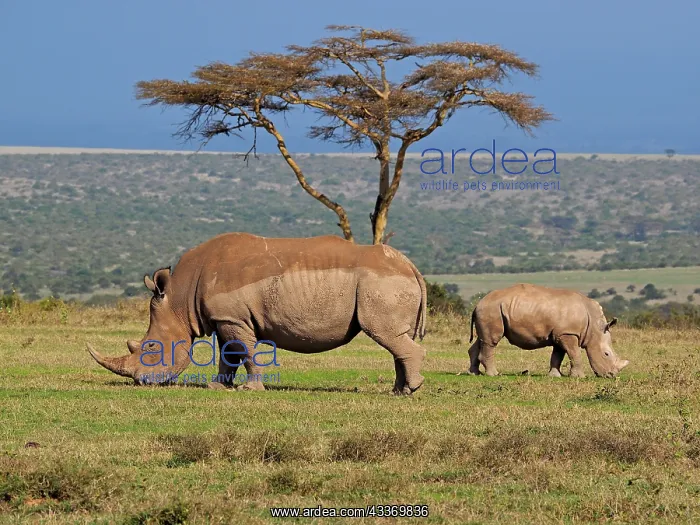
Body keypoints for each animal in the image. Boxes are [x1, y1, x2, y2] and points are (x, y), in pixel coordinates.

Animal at [87, 233, 427, 394]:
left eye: (150, 348)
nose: (142, 383)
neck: (181, 298)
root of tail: (411, 266)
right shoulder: (226, 319)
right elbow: (228, 355)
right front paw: (218, 387)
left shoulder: (232, 318)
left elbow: (245, 352)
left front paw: (249, 389)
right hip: (387, 281)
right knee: (396, 338)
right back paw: (399, 391)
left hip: (382, 282)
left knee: (385, 334)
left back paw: (410, 390)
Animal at [466, 283, 629, 378]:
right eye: (606, 354)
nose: (612, 375)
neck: (594, 326)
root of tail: (478, 303)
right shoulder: (568, 333)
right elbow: (574, 354)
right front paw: (578, 377)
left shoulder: (561, 334)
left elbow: (558, 355)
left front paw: (555, 376)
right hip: (492, 310)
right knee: (491, 341)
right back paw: (493, 375)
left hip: (490, 310)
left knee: (481, 340)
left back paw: (474, 373)